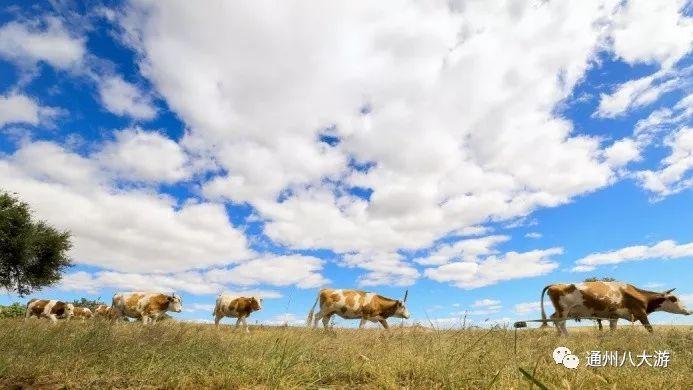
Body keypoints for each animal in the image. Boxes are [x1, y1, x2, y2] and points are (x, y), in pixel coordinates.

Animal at [540, 280, 688, 336]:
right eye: (674, 298)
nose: (689, 310)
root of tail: (555, 284)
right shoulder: (641, 313)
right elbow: (650, 328)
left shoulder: (614, 316)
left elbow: (613, 330)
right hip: (564, 310)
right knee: (561, 322)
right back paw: (566, 337)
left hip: (562, 311)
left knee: (553, 319)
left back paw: (559, 336)